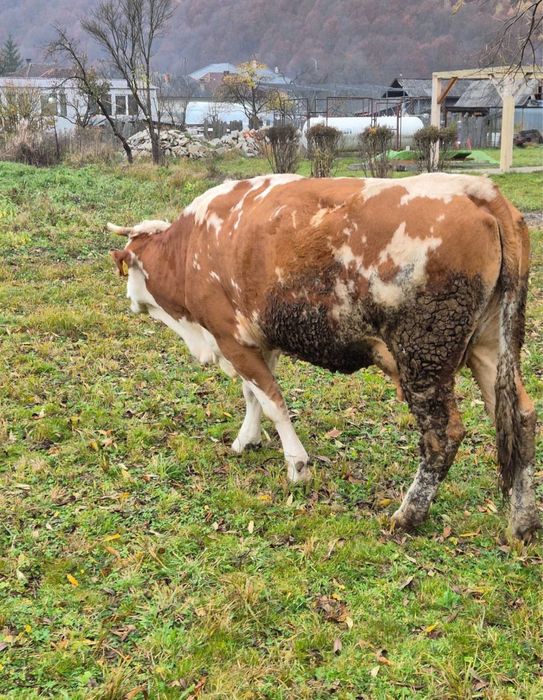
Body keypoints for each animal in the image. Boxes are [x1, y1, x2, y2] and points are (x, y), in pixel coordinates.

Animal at [109, 173, 540, 541]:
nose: (129, 302)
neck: (190, 248)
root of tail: (475, 189)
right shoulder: (258, 341)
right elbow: (254, 395)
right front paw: (248, 439)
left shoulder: (229, 337)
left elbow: (273, 401)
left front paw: (296, 465)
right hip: (492, 345)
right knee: (520, 416)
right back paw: (522, 523)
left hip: (424, 354)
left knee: (443, 434)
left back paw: (408, 515)